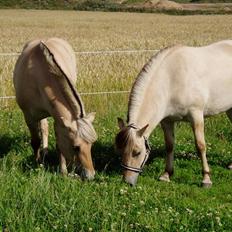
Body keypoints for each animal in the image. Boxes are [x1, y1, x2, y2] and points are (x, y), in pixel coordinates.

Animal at [13, 37, 97, 179]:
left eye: (92, 145)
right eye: (76, 147)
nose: (90, 175)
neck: (39, 74)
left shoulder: (59, 120)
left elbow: (59, 145)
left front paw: (63, 170)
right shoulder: (29, 116)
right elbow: (35, 141)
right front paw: (37, 163)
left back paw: (46, 151)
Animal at [115, 40, 232, 187]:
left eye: (137, 152)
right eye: (120, 151)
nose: (127, 181)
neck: (172, 79)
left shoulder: (196, 115)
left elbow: (200, 146)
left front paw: (206, 178)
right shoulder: (167, 121)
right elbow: (170, 145)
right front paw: (166, 174)